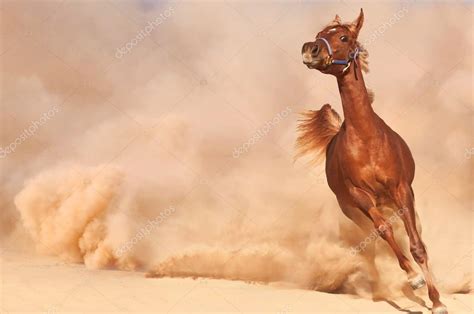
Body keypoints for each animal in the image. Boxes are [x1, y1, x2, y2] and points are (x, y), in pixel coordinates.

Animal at [296, 8, 448, 312]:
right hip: (354, 212)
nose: (310, 49)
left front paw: (436, 300)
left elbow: (418, 246)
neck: (367, 140)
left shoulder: (402, 190)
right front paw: (413, 279)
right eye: (319, 35)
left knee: (417, 237)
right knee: (372, 245)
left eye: (344, 37)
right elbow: (384, 231)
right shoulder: (361, 197)